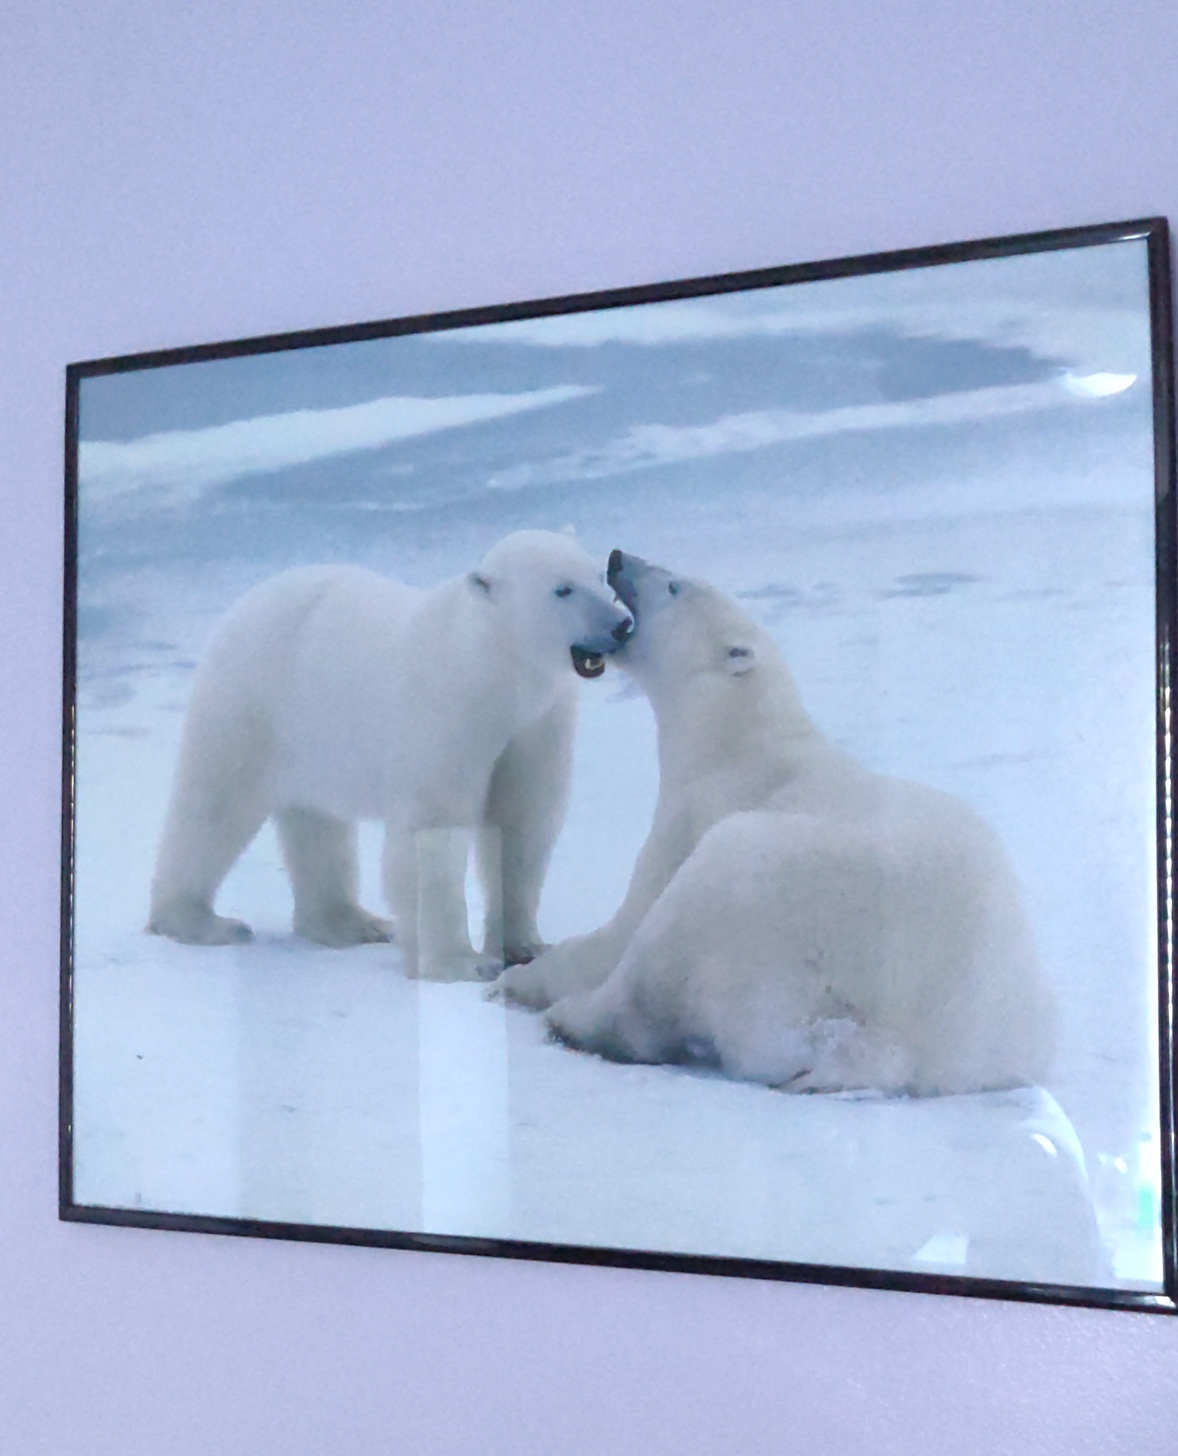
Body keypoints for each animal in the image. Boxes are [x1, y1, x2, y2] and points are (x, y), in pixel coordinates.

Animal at [147, 530, 633, 981]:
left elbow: (525, 822)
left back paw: (351, 922)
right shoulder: (449, 712)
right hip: (253, 702)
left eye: (598, 576)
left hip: (313, 735)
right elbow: (434, 828)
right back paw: (201, 921)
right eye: (562, 589)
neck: (494, 669)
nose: (621, 625)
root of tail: (247, 601)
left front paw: (527, 946)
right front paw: (460, 963)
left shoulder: (537, 724)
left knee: (316, 823)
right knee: (215, 805)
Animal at [504, 550, 1056, 1095]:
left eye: (676, 585)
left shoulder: (700, 809)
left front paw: (517, 977)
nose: (618, 556)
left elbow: (622, 928)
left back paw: (569, 1019)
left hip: (766, 902)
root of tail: (894, 1045)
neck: (735, 740)